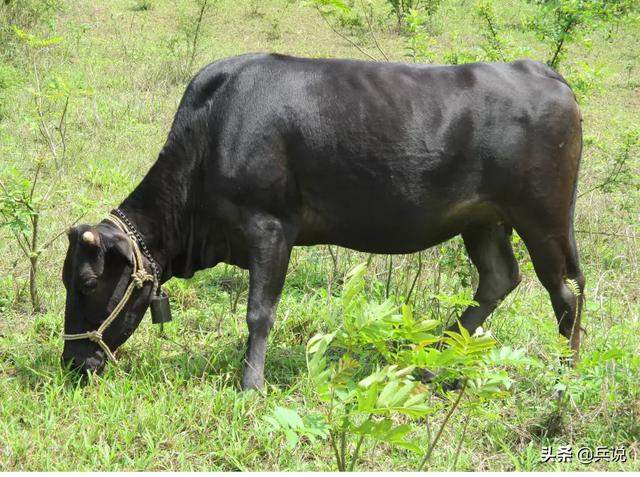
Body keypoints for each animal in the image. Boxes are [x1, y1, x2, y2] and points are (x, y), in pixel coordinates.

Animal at [61, 53, 584, 386]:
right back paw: (432, 361)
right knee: (499, 278)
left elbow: (259, 313)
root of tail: (541, 71)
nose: (72, 362)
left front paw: (251, 384)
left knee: (565, 291)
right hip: (483, 220)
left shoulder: (270, 227)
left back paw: (566, 376)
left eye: (87, 282)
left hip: (544, 217)